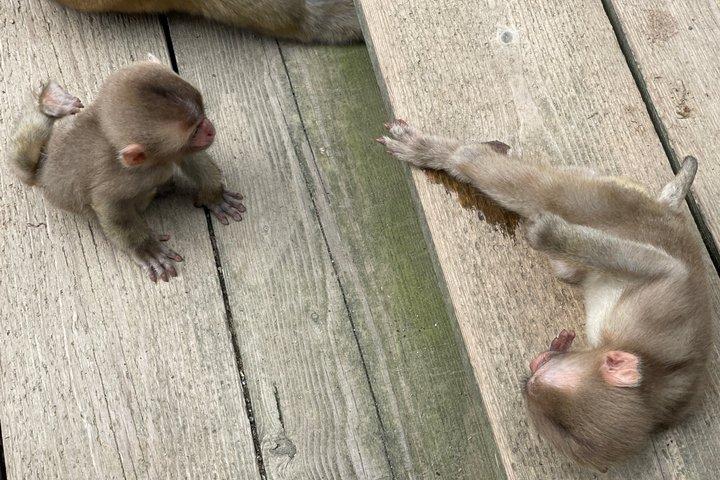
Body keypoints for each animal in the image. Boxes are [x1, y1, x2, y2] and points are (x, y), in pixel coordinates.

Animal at [8, 56, 245, 283]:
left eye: (202, 116)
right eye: (195, 131)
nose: (210, 129)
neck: (150, 163)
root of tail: (43, 173)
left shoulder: (170, 153)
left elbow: (189, 159)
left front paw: (214, 195)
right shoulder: (121, 177)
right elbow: (108, 205)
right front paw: (146, 249)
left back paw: (50, 102)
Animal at [378, 119, 711, 471]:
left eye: (534, 390)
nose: (532, 371)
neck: (650, 380)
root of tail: (664, 212)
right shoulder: (657, 309)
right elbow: (665, 268)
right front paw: (549, 234)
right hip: (614, 201)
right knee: (546, 191)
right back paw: (445, 152)